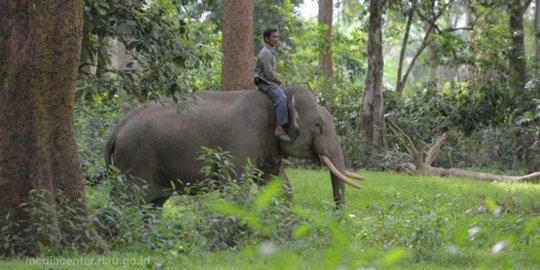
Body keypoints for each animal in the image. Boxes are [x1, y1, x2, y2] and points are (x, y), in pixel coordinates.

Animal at [102, 85, 362, 208]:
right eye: (318, 125)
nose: (338, 217)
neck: (277, 97)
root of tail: (115, 129)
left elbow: (279, 184)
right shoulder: (242, 139)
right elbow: (236, 183)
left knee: (153, 205)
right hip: (135, 160)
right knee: (128, 202)